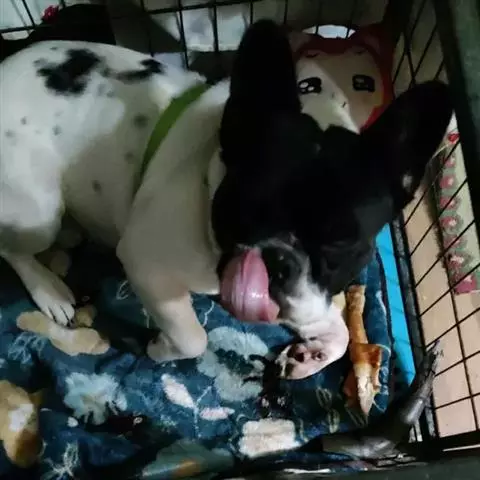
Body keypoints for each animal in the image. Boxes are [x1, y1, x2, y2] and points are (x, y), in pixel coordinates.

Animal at [0, 20, 452, 379]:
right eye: (244, 209)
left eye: (342, 242)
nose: (277, 259)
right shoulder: (147, 264)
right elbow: (192, 338)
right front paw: (161, 348)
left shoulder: (312, 297)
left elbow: (339, 330)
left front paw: (312, 355)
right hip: (40, 212)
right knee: (12, 248)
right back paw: (49, 290)